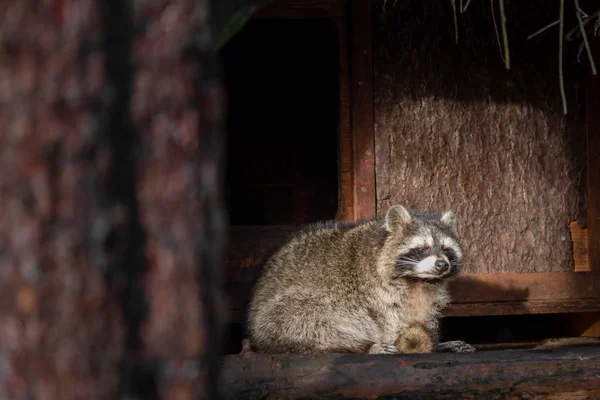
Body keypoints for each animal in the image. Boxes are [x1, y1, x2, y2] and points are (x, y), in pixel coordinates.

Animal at [246, 205, 476, 354]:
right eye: (423, 248)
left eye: (446, 249)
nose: (442, 265)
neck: (416, 280)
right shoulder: (371, 287)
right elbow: (386, 318)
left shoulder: (426, 295)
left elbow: (416, 316)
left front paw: (437, 342)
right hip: (284, 309)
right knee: (304, 322)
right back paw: (360, 346)